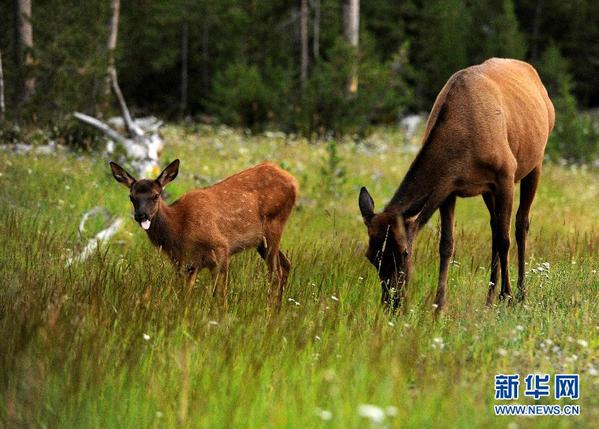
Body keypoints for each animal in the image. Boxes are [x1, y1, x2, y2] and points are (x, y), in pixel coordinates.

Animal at [109, 159, 298, 306]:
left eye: (156, 196)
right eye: (131, 197)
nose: (141, 215)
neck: (179, 228)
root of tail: (294, 182)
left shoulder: (221, 248)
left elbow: (220, 295)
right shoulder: (187, 264)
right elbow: (185, 296)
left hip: (274, 224)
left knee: (276, 274)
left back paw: (269, 312)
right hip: (261, 242)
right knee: (286, 264)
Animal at [358, 57, 556, 310]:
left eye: (405, 253)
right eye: (371, 256)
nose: (392, 302)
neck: (462, 149)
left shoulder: (505, 174)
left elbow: (505, 240)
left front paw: (508, 296)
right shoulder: (448, 189)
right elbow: (446, 245)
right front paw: (439, 305)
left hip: (535, 162)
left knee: (521, 224)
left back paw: (520, 293)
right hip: (487, 190)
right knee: (494, 226)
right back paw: (489, 297)